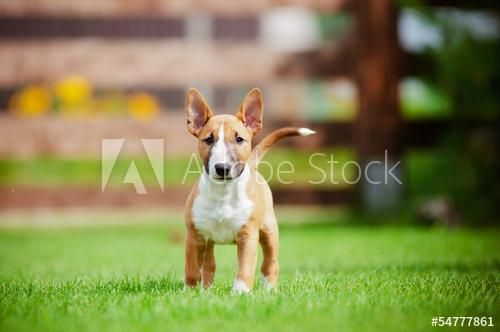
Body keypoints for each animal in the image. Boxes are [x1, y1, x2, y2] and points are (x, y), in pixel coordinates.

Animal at [184, 87, 316, 294]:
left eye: (239, 139)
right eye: (208, 140)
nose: (222, 168)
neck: (223, 192)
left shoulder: (248, 236)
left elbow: (245, 267)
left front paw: (240, 292)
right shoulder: (194, 235)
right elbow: (191, 269)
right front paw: (190, 292)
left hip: (269, 230)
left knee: (271, 263)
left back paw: (269, 289)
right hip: (210, 241)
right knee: (209, 265)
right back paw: (207, 290)